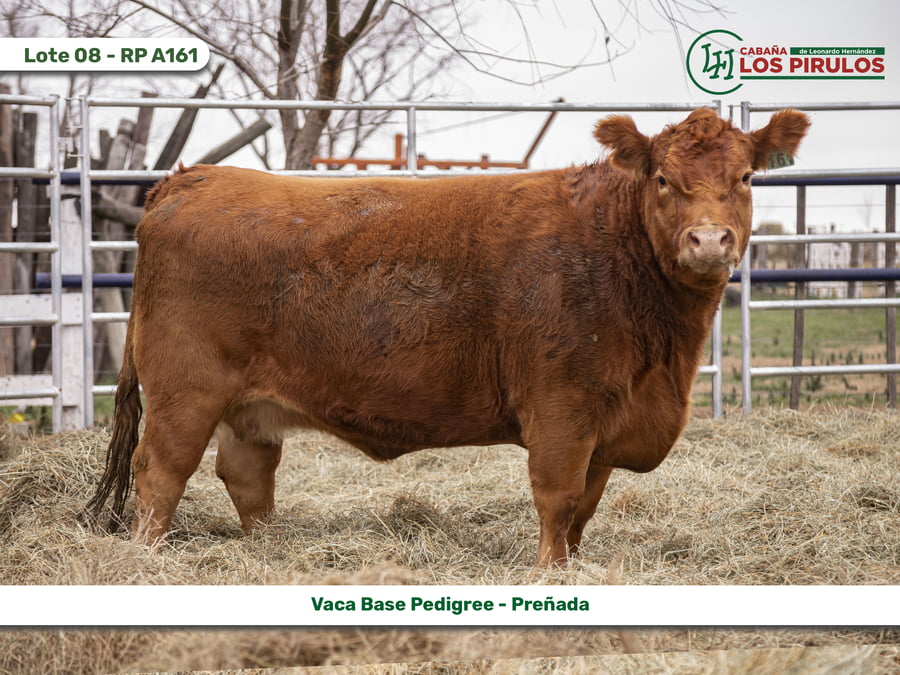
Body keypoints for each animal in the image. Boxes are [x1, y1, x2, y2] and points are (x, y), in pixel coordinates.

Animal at [83, 107, 809, 565]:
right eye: (663, 178)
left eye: (745, 177)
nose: (709, 241)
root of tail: (192, 177)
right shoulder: (563, 409)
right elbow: (558, 498)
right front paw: (548, 575)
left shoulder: (607, 421)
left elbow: (585, 509)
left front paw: (573, 567)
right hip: (186, 389)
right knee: (161, 472)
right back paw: (147, 560)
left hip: (249, 405)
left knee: (247, 476)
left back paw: (267, 552)